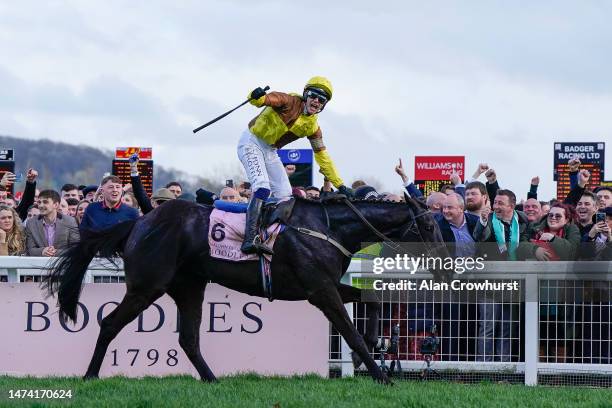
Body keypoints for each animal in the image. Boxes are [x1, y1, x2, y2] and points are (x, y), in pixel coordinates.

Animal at [43, 196, 444, 384]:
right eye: (428, 226)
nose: (444, 259)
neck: (327, 227)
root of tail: (139, 222)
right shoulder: (319, 289)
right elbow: (349, 330)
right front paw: (381, 374)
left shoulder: (325, 285)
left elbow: (371, 301)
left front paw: (375, 349)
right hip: (147, 286)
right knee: (110, 323)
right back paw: (90, 376)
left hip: (189, 286)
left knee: (189, 338)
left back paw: (213, 380)